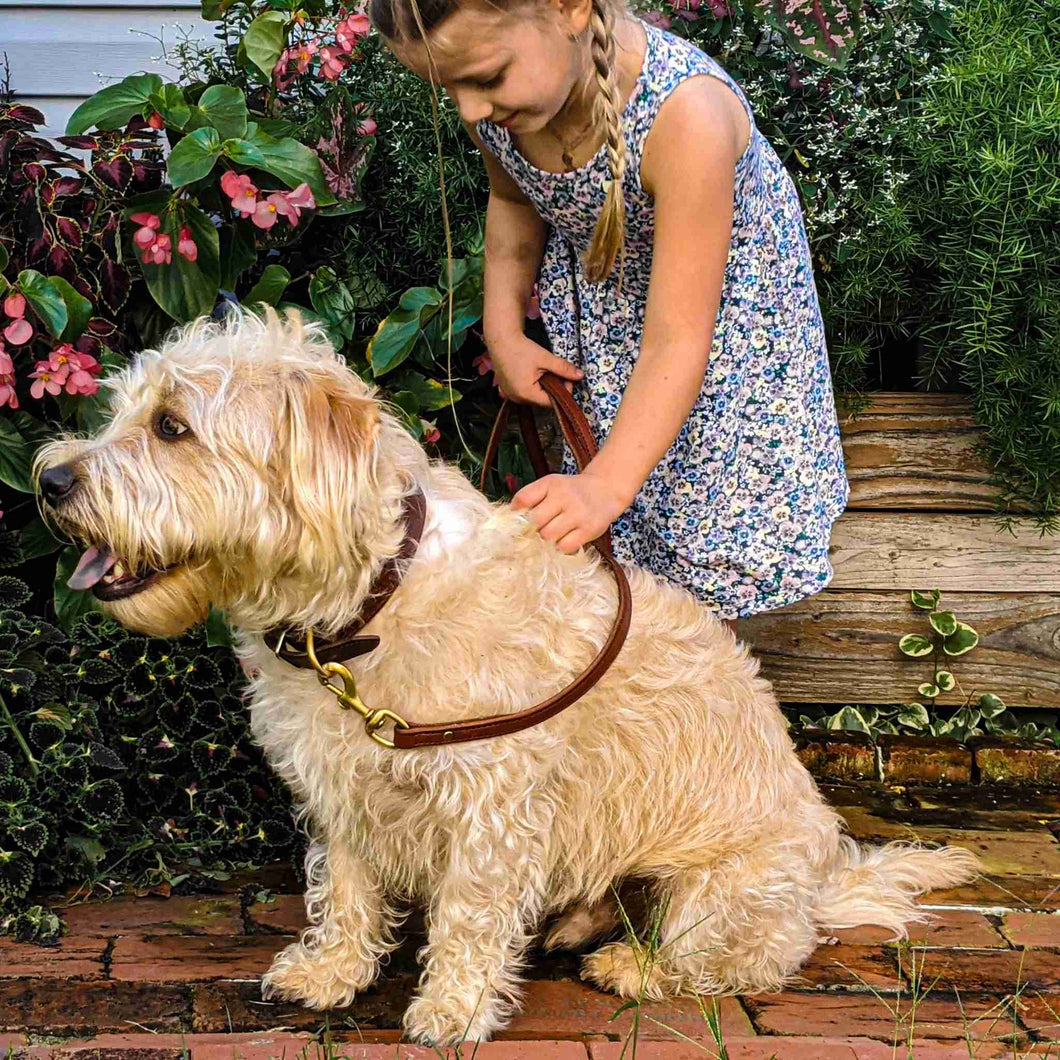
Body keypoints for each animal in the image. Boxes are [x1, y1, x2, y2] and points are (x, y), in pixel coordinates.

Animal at [35, 309, 975, 1047]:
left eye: (172, 426)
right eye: (122, 412)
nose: (49, 477)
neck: (366, 607)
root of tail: (822, 886)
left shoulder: (489, 797)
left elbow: (468, 910)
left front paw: (452, 1008)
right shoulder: (343, 784)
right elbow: (344, 888)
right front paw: (332, 971)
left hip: (718, 892)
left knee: (736, 960)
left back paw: (633, 966)